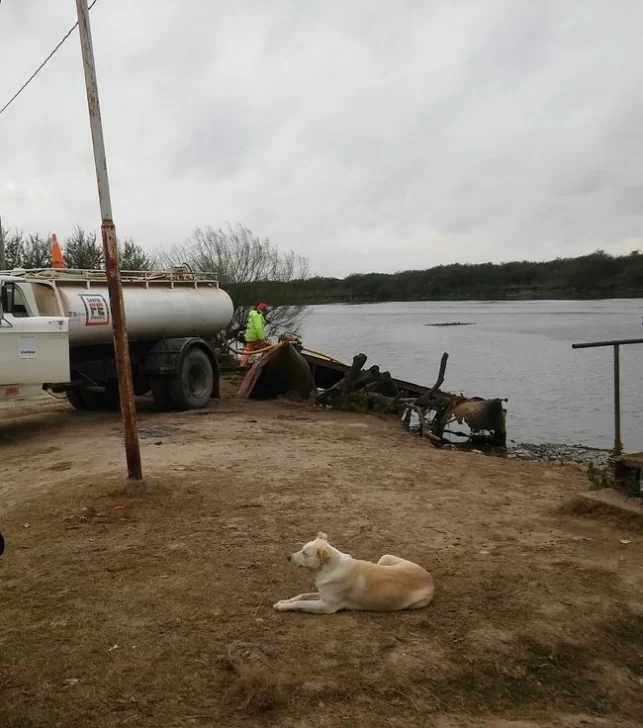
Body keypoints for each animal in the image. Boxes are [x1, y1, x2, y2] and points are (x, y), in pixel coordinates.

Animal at [274, 528, 436, 616]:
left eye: (305, 553)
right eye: (301, 549)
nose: (288, 557)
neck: (329, 568)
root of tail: (429, 578)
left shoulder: (327, 606)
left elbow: (301, 602)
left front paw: (282, 606)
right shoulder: (322, 595)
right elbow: (302, 595)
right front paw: (283, 601)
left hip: (416, 603)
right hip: (385, 557)